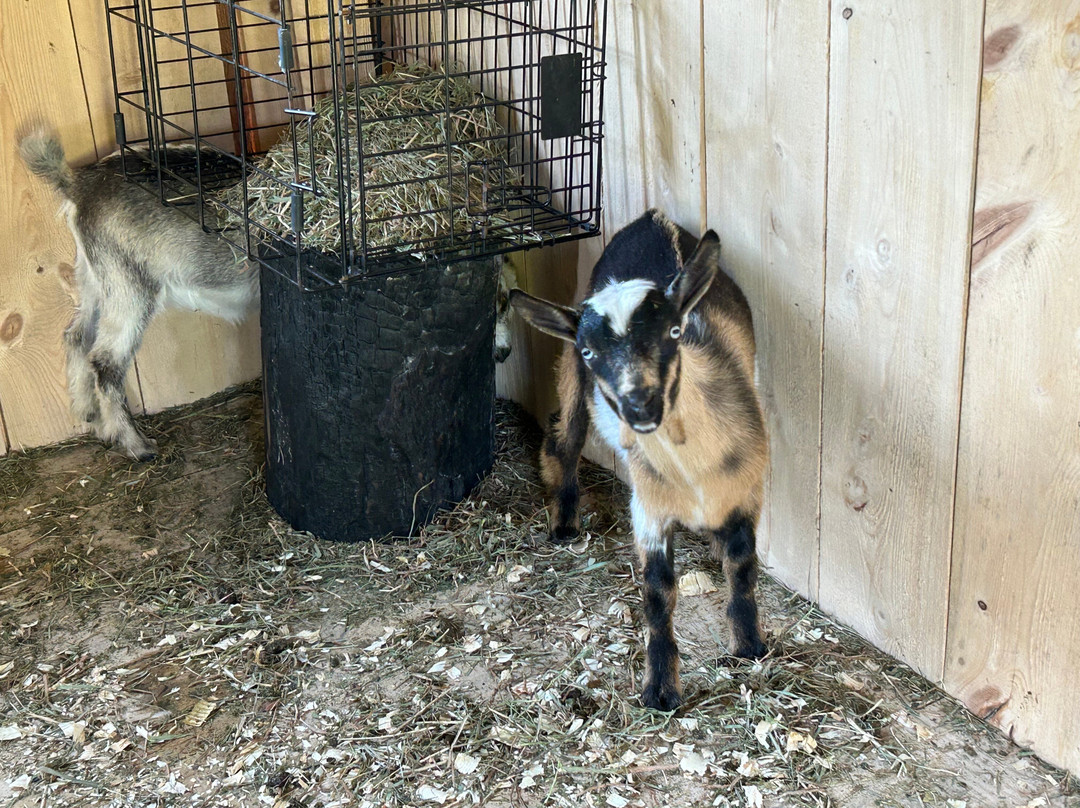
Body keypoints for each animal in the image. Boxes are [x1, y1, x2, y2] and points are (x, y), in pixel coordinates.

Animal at [511, 208, 768, 708]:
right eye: (591, 350)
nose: (640, 406)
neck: (693, 473)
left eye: (673, 331)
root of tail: (653, 217)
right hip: (572, 380)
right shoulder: (648, 506)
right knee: (563, 438)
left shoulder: (748, 487)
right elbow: (657, 591)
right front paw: (661, 689)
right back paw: (564, 523)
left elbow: (743, 562)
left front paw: (749, 645)